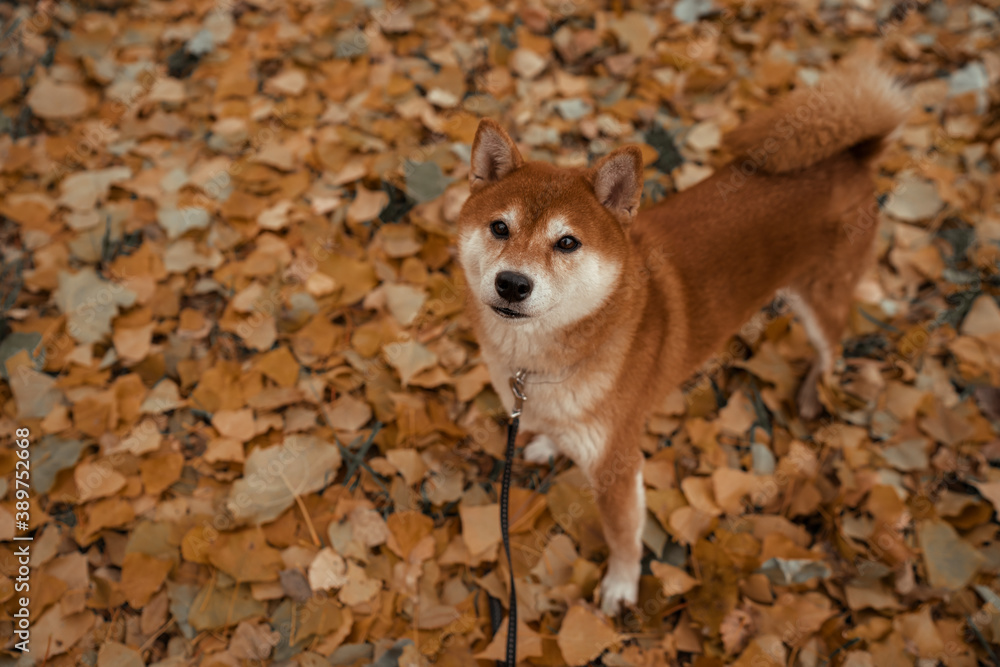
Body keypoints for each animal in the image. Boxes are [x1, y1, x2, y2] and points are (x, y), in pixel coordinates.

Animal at [458, 64, 912, 616]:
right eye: (500, 227)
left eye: (567, 242)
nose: (512, 284)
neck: (541, 363)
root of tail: (852, 157)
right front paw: (546, 442)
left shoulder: (616, 466)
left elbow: (623, 537)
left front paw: (621, 587)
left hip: (820, 302)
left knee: (832, 348)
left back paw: (812, 393)